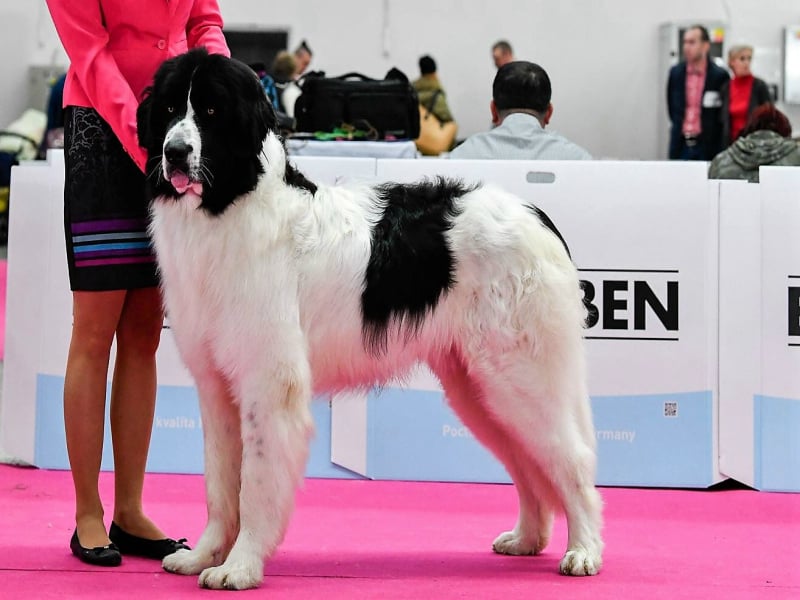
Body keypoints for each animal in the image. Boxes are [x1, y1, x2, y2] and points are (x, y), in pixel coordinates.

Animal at [138, 48, 604, 592]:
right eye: (171, 108)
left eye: (211, 111)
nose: (174, 152)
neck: (231, 202)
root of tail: (536, 215)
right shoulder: (217, 387)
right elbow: (218, 481)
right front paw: (203, 555)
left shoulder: (269, 386)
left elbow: (253, 483)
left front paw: (240, 566)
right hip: (480, 389)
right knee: (528, 463)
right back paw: (527, 538)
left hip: (520, 375)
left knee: (571, 458)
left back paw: (584, 551)